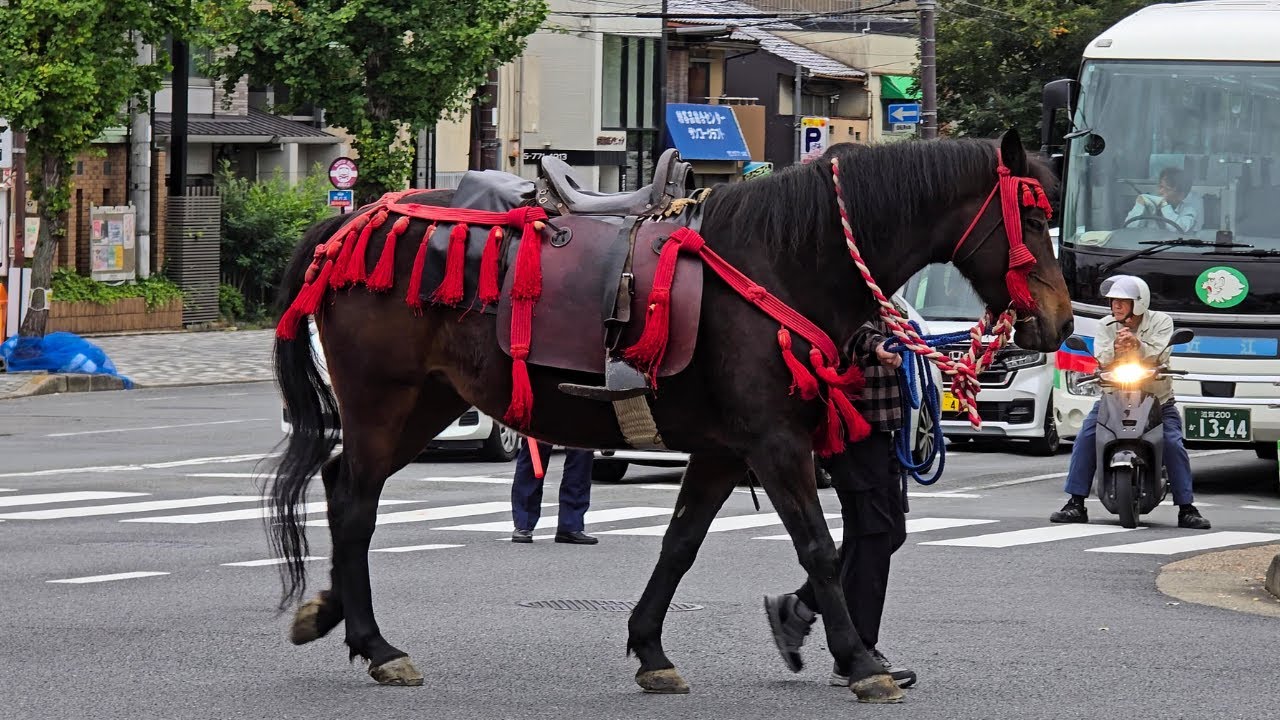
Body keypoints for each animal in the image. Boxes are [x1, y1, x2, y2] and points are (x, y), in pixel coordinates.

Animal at [268, 128, 1073, 702]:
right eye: (1034, 217)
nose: (1063, 322)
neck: (782, 262)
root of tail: (354, 221)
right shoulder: (775, 443)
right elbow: (818, 548)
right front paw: (861, 660)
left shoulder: (725, 450)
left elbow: (679, 545)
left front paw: (651, 649)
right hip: (383, 398)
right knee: (355, 501)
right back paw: (377, 645)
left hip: (431, 400)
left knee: (345, 487)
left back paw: (335, 614)